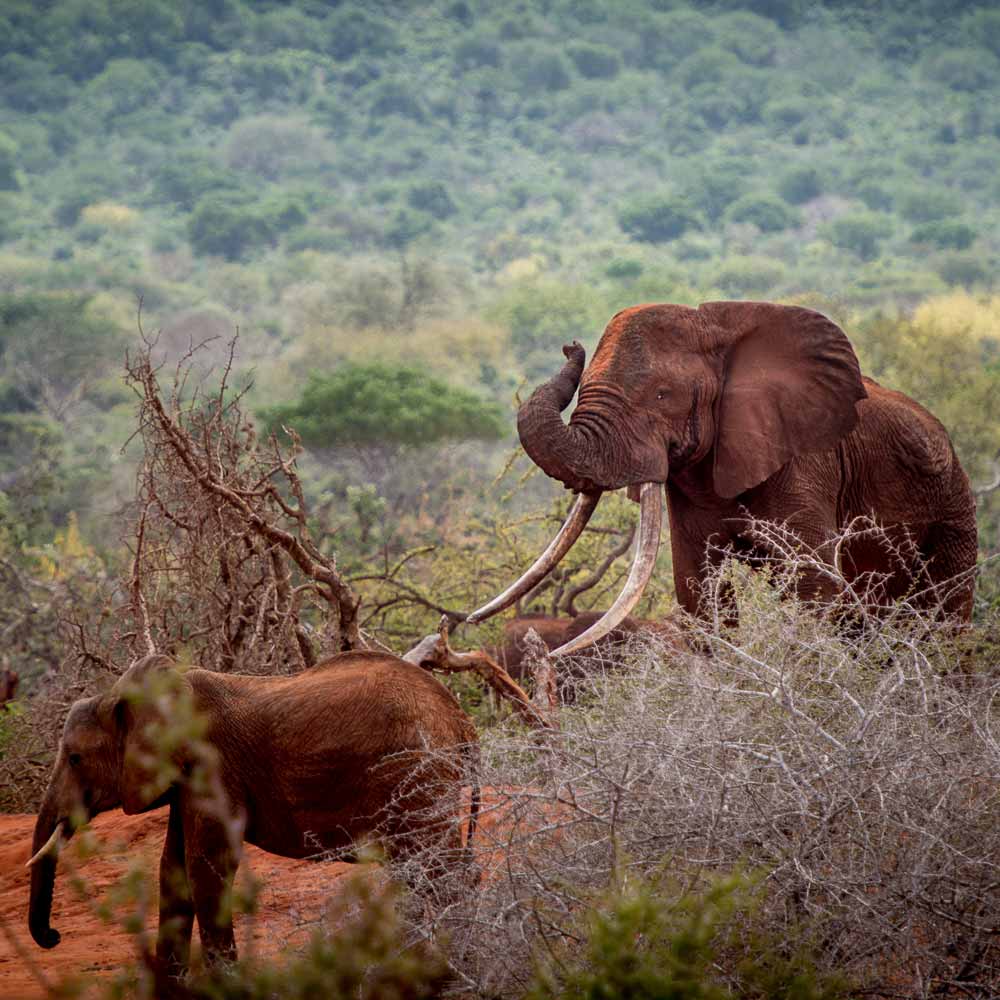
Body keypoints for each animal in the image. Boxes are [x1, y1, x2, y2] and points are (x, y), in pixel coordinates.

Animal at [23, 652, 476, 972]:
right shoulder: (187, 780)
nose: (53, 936)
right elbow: (173, 869)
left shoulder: (213, 765)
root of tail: (461, 720)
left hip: (418, 774)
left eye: (75, 758)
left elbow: (207, 867)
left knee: (441, 871)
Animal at [466, 300, 976, 652]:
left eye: (662, 395)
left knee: (945, 623)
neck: (717, 331)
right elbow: (699, 592)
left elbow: (814, 590)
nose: (572, 345)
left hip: (954, 511)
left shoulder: (807, 460)